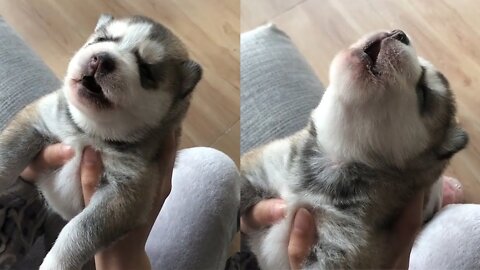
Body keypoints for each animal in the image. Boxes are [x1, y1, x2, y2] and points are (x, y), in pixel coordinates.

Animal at [0, 14, 201, 270]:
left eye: (145, 70)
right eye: (103, 39)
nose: (102, 59)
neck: (89, 133)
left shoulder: (126, 193)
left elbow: (79, 230)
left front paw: (56, 263)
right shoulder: (35, 121)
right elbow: (7, 156)